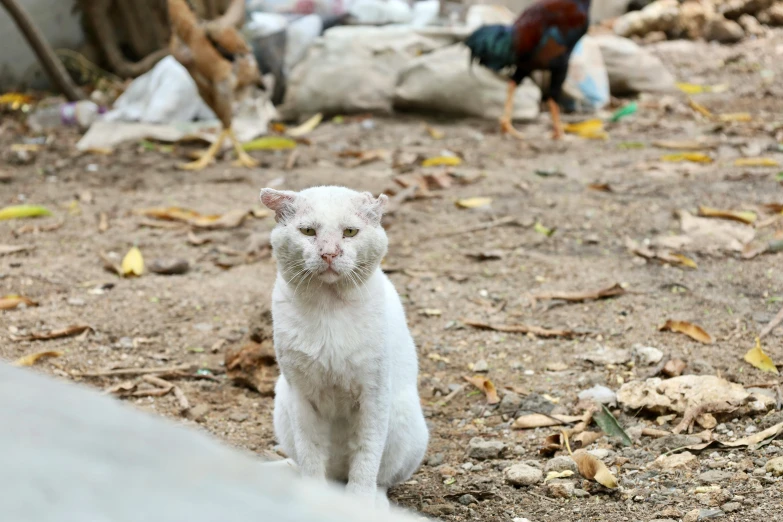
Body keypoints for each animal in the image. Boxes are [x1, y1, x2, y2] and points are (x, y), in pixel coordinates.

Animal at [258, 185, 428, 506]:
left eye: (350, 232)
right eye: (308, 231)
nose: (329, 253)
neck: (329, 308)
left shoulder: (374, 394)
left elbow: (366, 457)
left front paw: (358, 505)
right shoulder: (301, 394)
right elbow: (310, 455)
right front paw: (311, 501)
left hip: (404, 419)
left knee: (381, 480)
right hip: (282, 404)